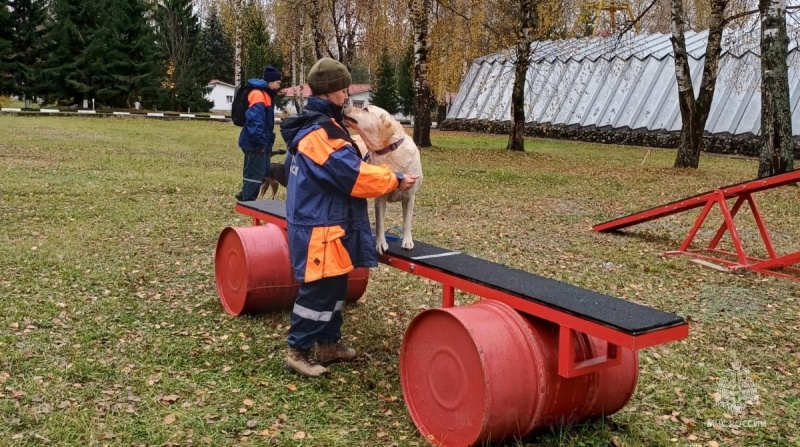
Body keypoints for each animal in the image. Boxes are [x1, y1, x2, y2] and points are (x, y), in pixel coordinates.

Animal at [344, 103, 424, 254]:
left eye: (365, 109)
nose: (345, 104)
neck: (390, 151)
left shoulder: (409, 197)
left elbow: (407, 221)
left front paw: (407, 241)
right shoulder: (380, 199)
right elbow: (380, 223)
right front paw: (380, 243)